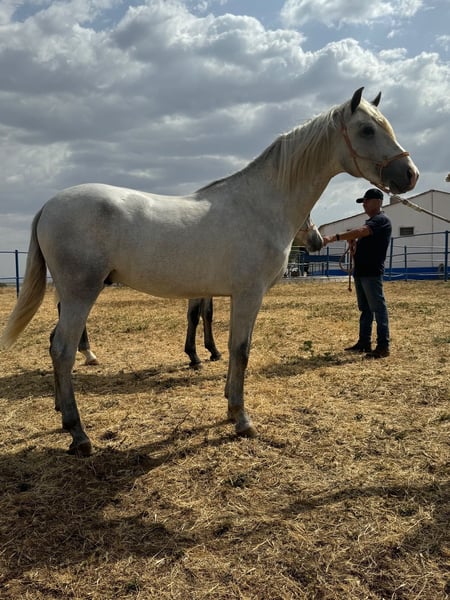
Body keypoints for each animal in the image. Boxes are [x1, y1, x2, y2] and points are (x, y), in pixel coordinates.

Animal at [74, 215, 322, 368]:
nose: (317, 241)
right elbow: (195, 316)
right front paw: (195, 356)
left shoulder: (206, 289)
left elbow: (206, 314)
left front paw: (210, 351)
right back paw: (87, 353)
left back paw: (87, 353)